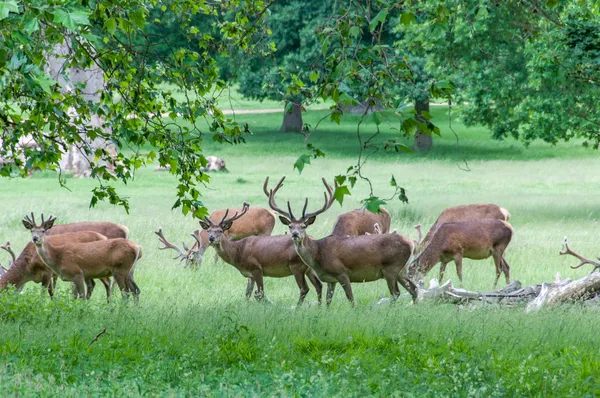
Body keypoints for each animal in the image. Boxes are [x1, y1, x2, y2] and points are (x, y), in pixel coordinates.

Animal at [196, 204, 324, 306]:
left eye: (220, 231)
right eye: (209, 230)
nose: (211, 238)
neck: (237, 252)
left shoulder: (256, 268)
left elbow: (261, 293)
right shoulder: (249, 273)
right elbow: (247, 293)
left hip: (297, 265)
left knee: (304, 288)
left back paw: (298, 307)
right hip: (309, 269)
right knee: (319, 285)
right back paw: (319, 307)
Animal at [264, 176, 420, 304]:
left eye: (303, 226)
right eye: (290, 226)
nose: (295, 234)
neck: (318, 254)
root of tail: (411, 244)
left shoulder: (342, 272)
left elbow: (351, 299)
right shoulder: (330, 279)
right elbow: (328, 300)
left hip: (391, 268)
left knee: (396, 293)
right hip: (402, 270)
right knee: (413, 288)